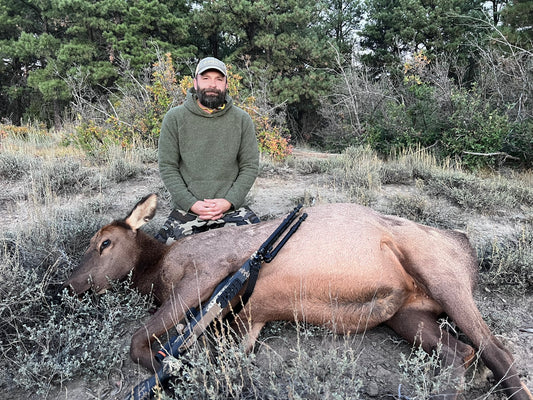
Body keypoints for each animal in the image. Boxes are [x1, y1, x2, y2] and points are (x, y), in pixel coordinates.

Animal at [64, 193, 528, 396]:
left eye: (104, 242)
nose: (69, 284)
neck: (157, 269)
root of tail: (465, 243)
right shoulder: (248, 318)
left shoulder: (208, 273)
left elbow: (141, 342)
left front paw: (177, 368)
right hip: (407, 314)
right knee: (460, 352)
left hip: (444, 277)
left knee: (499, 351)